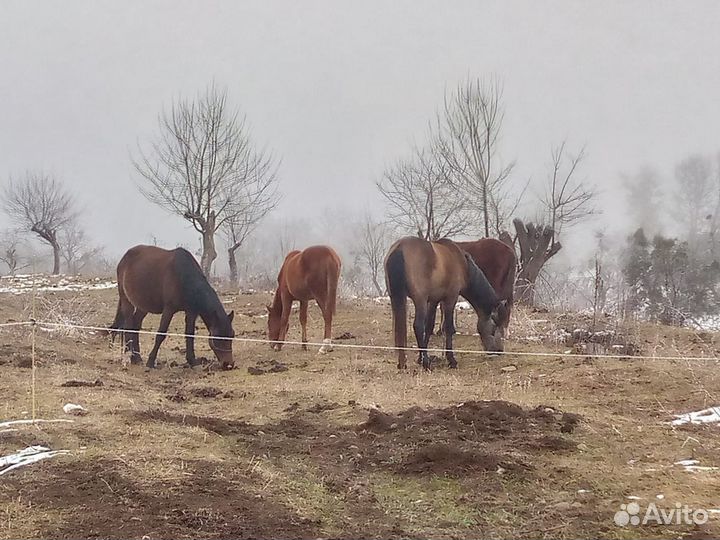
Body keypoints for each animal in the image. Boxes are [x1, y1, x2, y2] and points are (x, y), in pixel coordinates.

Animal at [384, 236, 507, 370]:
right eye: (494, 327)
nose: (499, 351)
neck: (463, 265)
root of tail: (399, 248)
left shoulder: (433, 301)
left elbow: (429, 327)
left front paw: (420, 359)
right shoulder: (450, 299)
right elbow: (448, 328)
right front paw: (451, 360)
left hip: (396, 297)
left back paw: (403, 363)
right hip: (420, 300)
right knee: (417, 326)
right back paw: (426, 364)